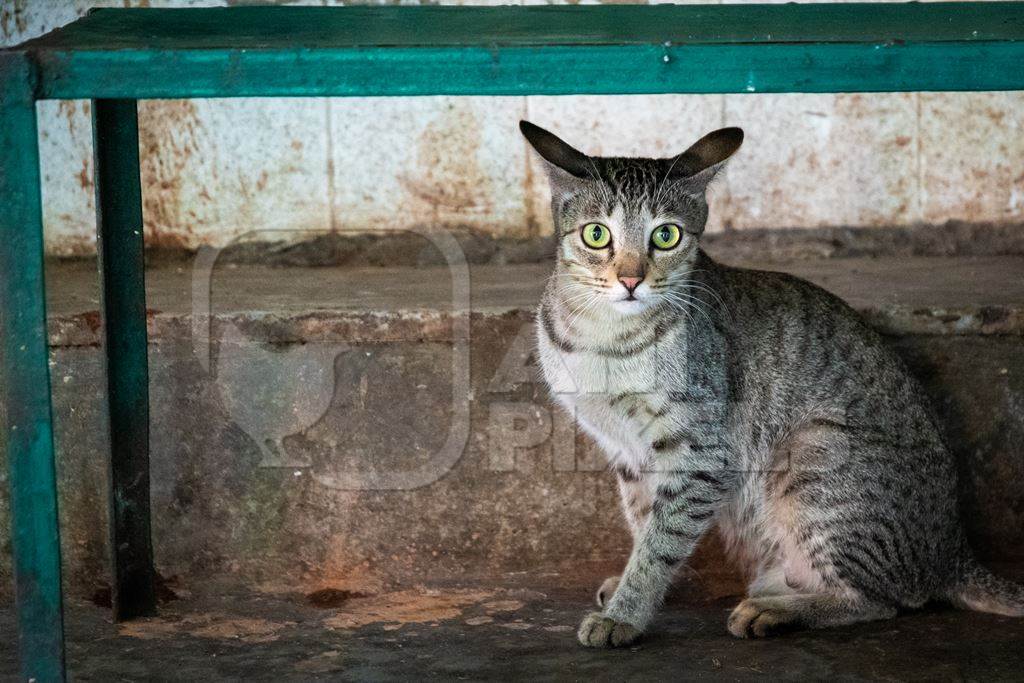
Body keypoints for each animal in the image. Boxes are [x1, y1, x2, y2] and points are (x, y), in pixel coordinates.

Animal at [524, 120, 1019, 651]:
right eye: (597, 234)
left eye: (666, 235)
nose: (631, 279)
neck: (603, 341)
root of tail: (955, 549)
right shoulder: (627, 452)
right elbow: (644, 522)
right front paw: (636, 587)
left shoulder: (703, 452)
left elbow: (662, 538)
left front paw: (626, 612)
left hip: (811, 452)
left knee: (881, 600)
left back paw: (776, 610)